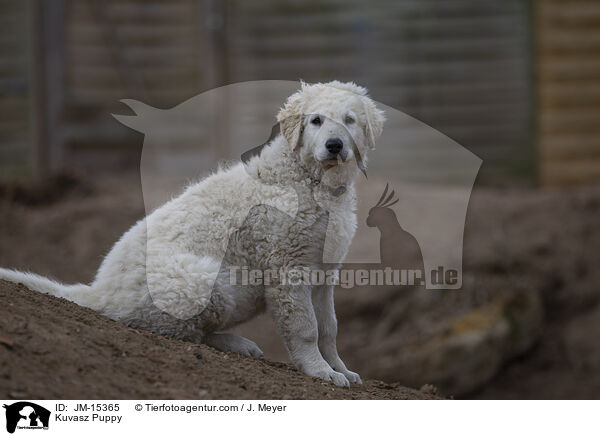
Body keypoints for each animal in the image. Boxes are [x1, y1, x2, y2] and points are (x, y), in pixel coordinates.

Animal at [1, 80, 384, 386]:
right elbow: (306, 328)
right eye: (315, 121)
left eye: (350, 120)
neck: (311, 180)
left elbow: (329, 327)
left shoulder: (324, 271)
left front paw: (340, 369)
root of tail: (97, 291)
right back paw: (236, 344)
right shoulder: (287, 268)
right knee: (177, 331)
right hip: (208, 283)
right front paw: (320, 372)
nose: (334, 145)